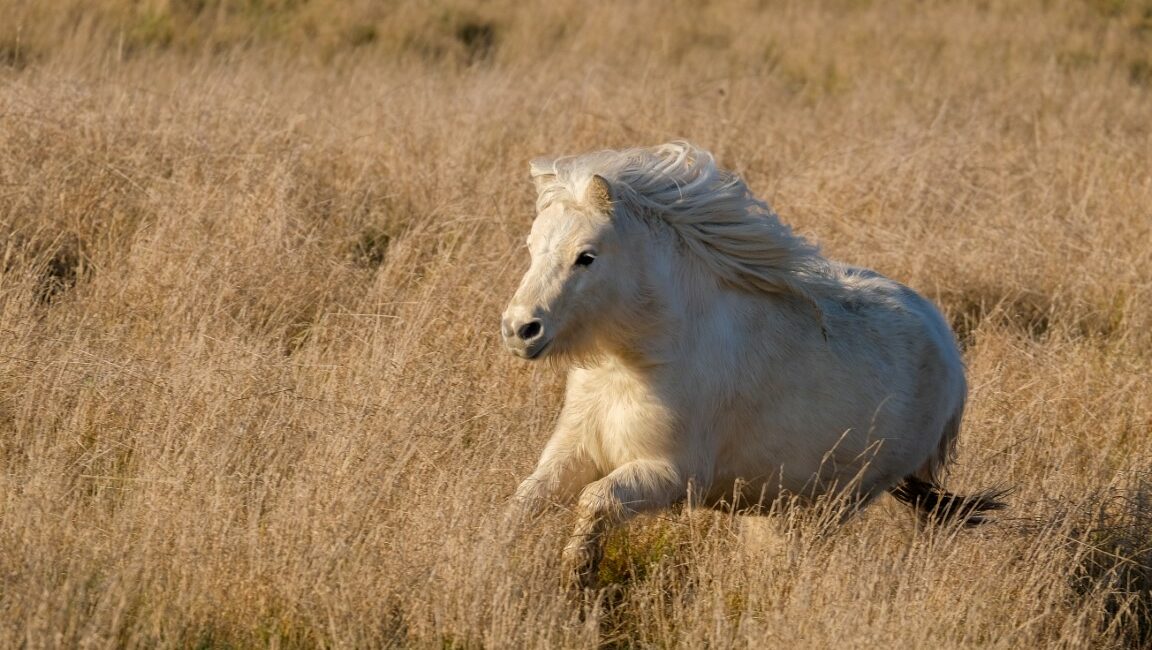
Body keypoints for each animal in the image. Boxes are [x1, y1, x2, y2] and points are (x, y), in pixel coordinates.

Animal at [499, 142, 1004, 590]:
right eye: (531, 246)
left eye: (586, 256)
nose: (519, 329)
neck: (638, 365)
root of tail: (945, 344)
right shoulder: (574, 453)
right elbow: (524, 502)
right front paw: (497, 558)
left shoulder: (673, 473)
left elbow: (594, 502)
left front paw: (578, 578)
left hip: (839, 499)